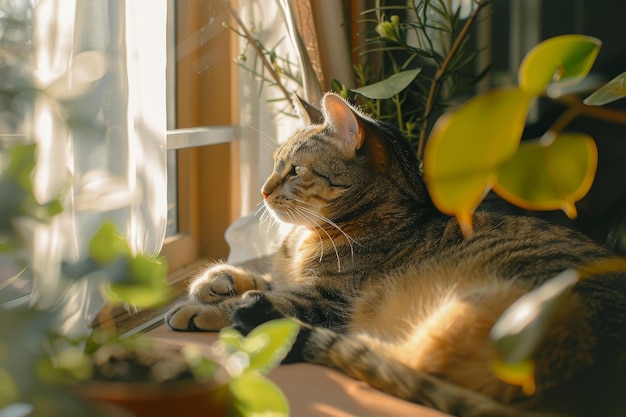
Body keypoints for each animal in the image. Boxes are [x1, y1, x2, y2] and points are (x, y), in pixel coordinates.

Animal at [166, 92, 624, 416]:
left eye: (294, 170)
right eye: (275, 164)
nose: (261, 190)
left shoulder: (329, 300)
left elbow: (273, 298)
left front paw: (203, 309)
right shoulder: (293, 279)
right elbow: (264, 278)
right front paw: (214, 282)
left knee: (389, 361)